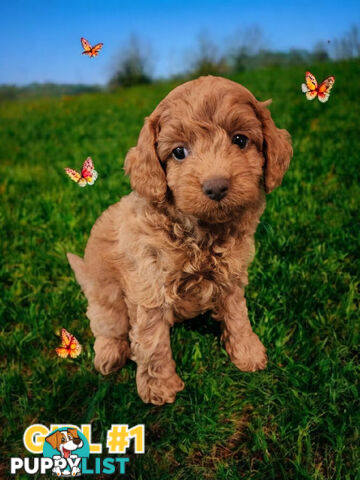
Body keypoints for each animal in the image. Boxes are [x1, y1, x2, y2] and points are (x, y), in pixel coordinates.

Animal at [67, 75, 292, 404]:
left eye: (240, 140)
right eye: (179, 152)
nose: (216, 187)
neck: (200, 232)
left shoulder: (232, 274)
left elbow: (237, 313)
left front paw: (247, 351)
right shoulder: (149, 283)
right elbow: (152, 340)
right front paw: (159, 387)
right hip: (105, 297)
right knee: (107, 326)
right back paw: (109, 355)